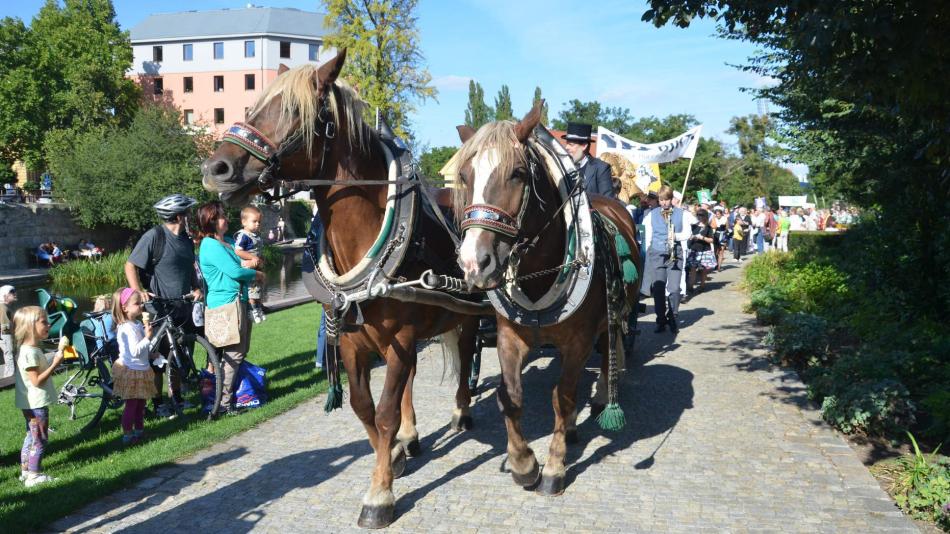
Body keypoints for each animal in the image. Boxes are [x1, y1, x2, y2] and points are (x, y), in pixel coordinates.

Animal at [202, 52, 484, 528]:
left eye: (295, 113)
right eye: (253, 108)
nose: (216, 169)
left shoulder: (401, 338)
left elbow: (384, 413)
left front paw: (379, 495)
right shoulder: (352, 342)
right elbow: (363, 407)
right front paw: (392, 458)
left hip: (467, 315)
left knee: (465, 358)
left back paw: (461, 411)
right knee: (411, 378)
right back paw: (412, 436)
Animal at [456, 102, 648, 496]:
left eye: (517, 174)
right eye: (465, 176)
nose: (473, 262)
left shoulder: (578, 339)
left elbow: (563, 397)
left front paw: (555, 467)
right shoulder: (509, 336)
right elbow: (510, 396)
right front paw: (524, 464)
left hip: (611, 316)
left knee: (606, 351)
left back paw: (603, 397)